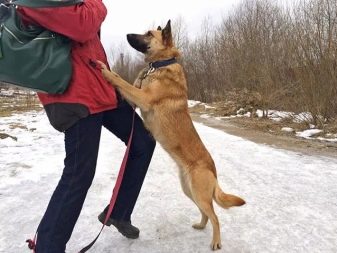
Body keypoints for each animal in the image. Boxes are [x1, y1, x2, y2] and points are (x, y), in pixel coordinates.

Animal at [97, 20, 244, 251]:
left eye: (149, 34)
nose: (128, 34)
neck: (158, 65)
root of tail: (213, 169)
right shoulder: (135, 97)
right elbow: (125, 82)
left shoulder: (143, 98)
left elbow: (122, 82)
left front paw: (107, 72)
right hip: (189, 191)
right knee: (206, 213)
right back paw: (201, 226)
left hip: (198, 193)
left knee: (216, 217)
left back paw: (216, 242)